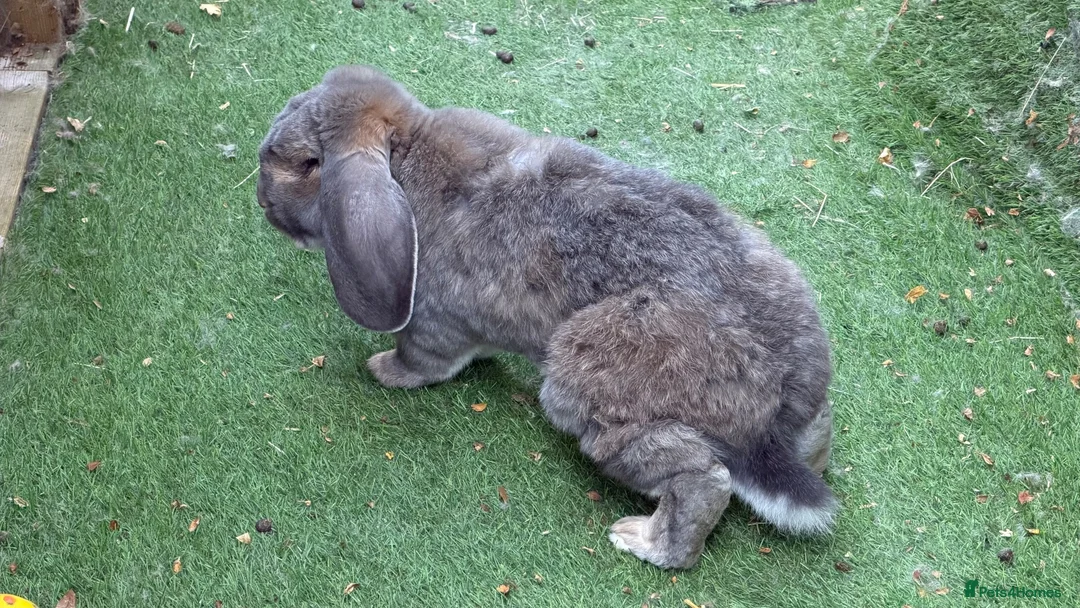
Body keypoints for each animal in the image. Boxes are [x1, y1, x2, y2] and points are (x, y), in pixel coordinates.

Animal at [256, 64, 837, 570]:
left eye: (304, 163)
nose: (262, 201)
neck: (406, 152)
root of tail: (768, 416)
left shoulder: (433, 321)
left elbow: (424, 359)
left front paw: (383, 370)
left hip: (590, 383)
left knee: (702, 478)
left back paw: (644, 541)